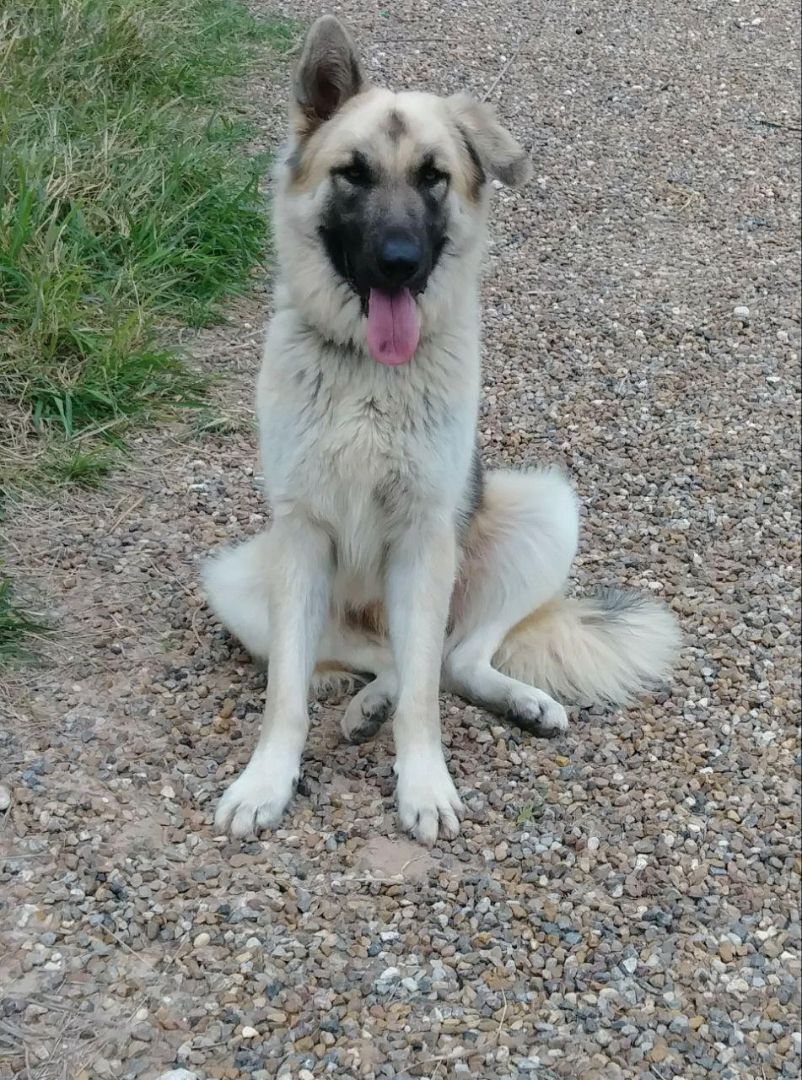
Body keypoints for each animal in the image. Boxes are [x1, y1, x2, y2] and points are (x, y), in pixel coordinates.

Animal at [204, 14, 682, 842]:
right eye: (353, 174)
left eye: (433, 177)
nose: (398, 261)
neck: (370, 373)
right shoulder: (301, 539)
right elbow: (287, 690)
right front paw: (267, 780)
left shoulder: (427, 537)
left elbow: (427, 693)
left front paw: (423, 784)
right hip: (238, 580)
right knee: (380, 657)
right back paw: (368, 705)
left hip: (543, 510)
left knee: (449, 660)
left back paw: (514, 701)